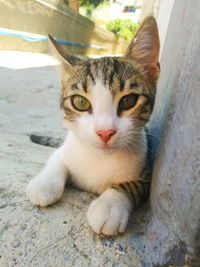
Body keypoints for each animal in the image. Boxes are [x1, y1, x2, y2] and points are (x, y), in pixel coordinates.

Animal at [25, 16, 159, 237]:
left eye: (128, 101)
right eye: (80, 102)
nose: (105, 132)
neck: (100, 159)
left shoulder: (148, 171)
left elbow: (133, 185)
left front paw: (110, 206)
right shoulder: (67, 147)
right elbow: (56, 159)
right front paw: (44, 183)